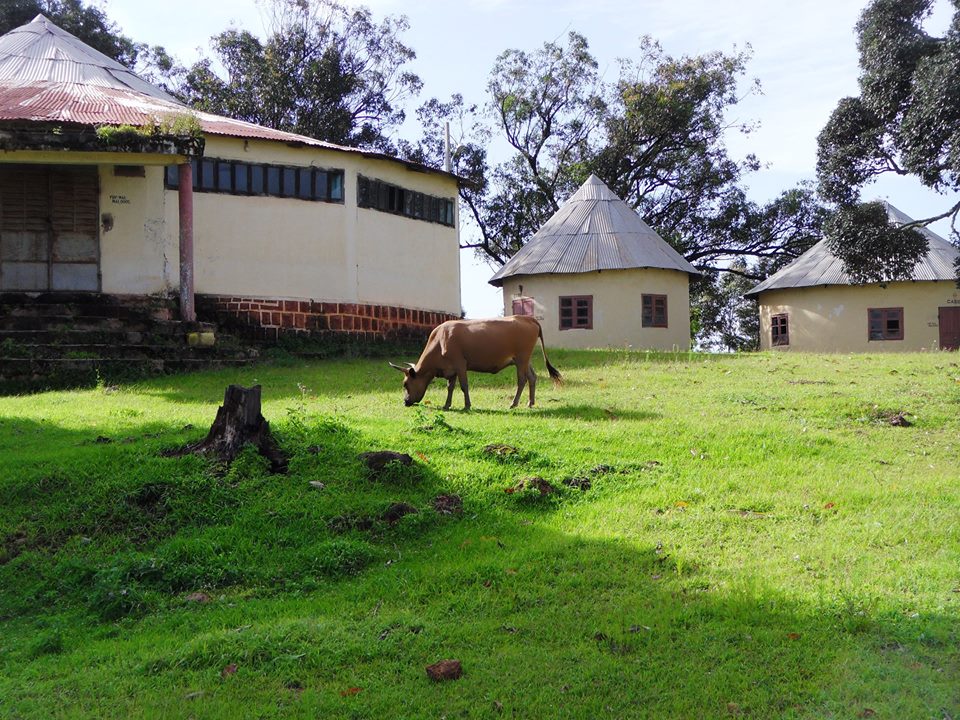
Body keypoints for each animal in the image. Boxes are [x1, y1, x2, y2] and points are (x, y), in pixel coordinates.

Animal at [390, 316, 564, 410]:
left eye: (405, 384)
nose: (405, 402)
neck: (440, 341)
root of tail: (527, 317)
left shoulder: (460, 364)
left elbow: (463, 386)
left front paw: (467, 405)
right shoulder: (450, 369)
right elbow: (450, 387)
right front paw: (447, 405)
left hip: (521, 358)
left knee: (522, 380)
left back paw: (514, 403)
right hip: (524, 359)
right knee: (532, 377)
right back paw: (530, 402)